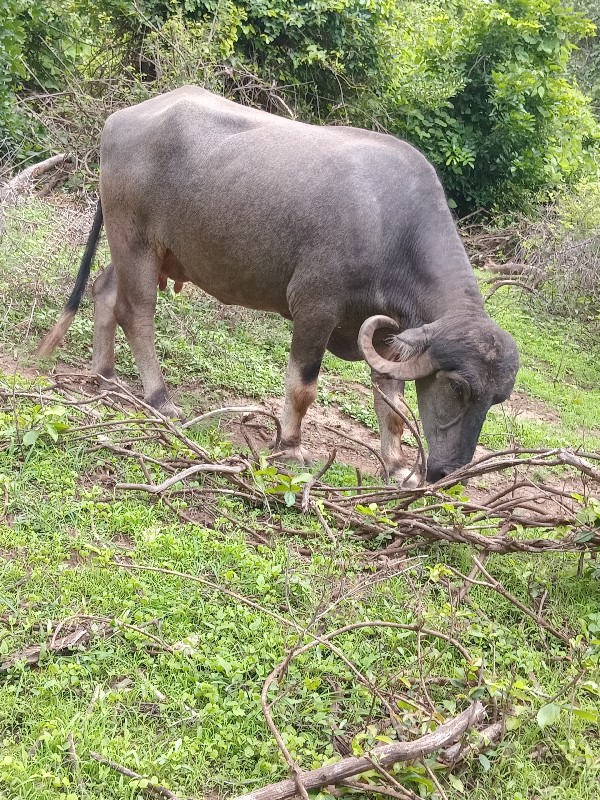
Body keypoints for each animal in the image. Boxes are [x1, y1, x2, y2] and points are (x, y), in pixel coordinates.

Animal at [37, 89, 516, 488]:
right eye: (458, 388)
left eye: (496, 401)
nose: (448, 472)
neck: (390, 228)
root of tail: (119, 120)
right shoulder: (315, 307)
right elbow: (302, 387)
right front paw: (289, 445)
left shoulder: (388, 336)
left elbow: (392, 407)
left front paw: (397, 466)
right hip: (135, 241)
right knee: (137, 313)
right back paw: (160, 398)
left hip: (140, 249)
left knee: (104, 290)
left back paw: (103, 374)